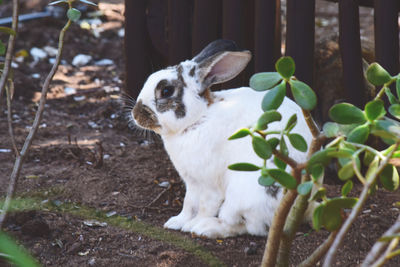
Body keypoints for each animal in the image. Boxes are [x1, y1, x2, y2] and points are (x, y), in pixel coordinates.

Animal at [133, 39, 314, 239]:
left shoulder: (209, 185)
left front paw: (192, 225)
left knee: (246, 226)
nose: (135, 114)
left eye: (166, 91)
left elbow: (205, 207)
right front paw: (176, 222)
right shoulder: (192, 183)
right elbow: (189, 204)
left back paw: (206, 228)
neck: (198, 119)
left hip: (244, 194)